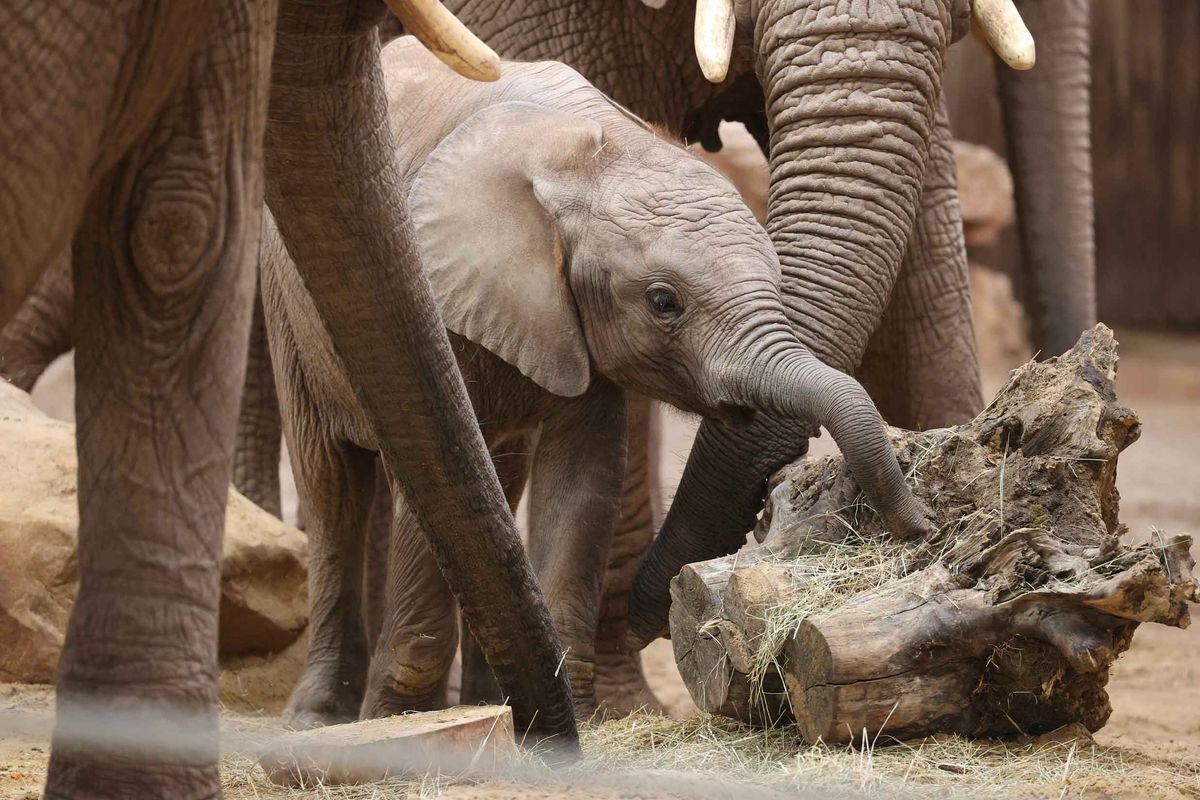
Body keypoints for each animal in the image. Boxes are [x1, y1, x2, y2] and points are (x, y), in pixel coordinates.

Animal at [265, 35, 916, 724]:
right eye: (663, 302)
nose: (918, 522)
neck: (595, 154)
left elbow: (582, 481)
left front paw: (568, 717)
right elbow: (431, 473)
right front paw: (398, 720)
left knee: (500, 476)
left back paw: (489, 700)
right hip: (284, 303)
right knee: (331, 486)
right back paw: (320, 716)